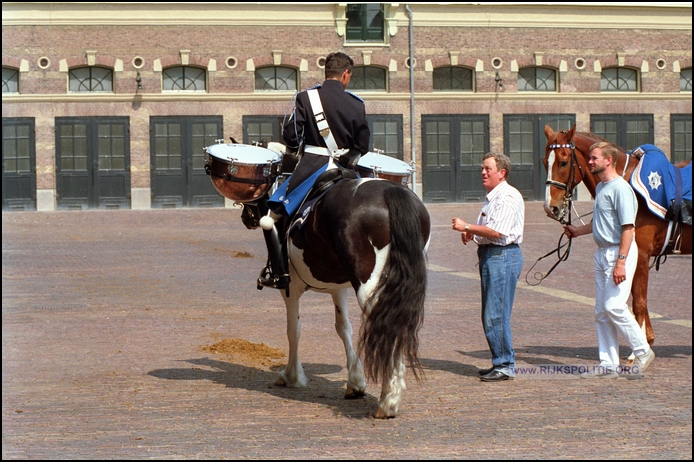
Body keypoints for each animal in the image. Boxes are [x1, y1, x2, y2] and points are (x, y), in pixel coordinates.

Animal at [548, 124, 692, 352]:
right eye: (545, 161)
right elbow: (635, 298)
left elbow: (639, 301)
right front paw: (647, 339)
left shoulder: (640, 254)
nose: (550, 207)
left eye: (563, 162)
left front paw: (639, 350)